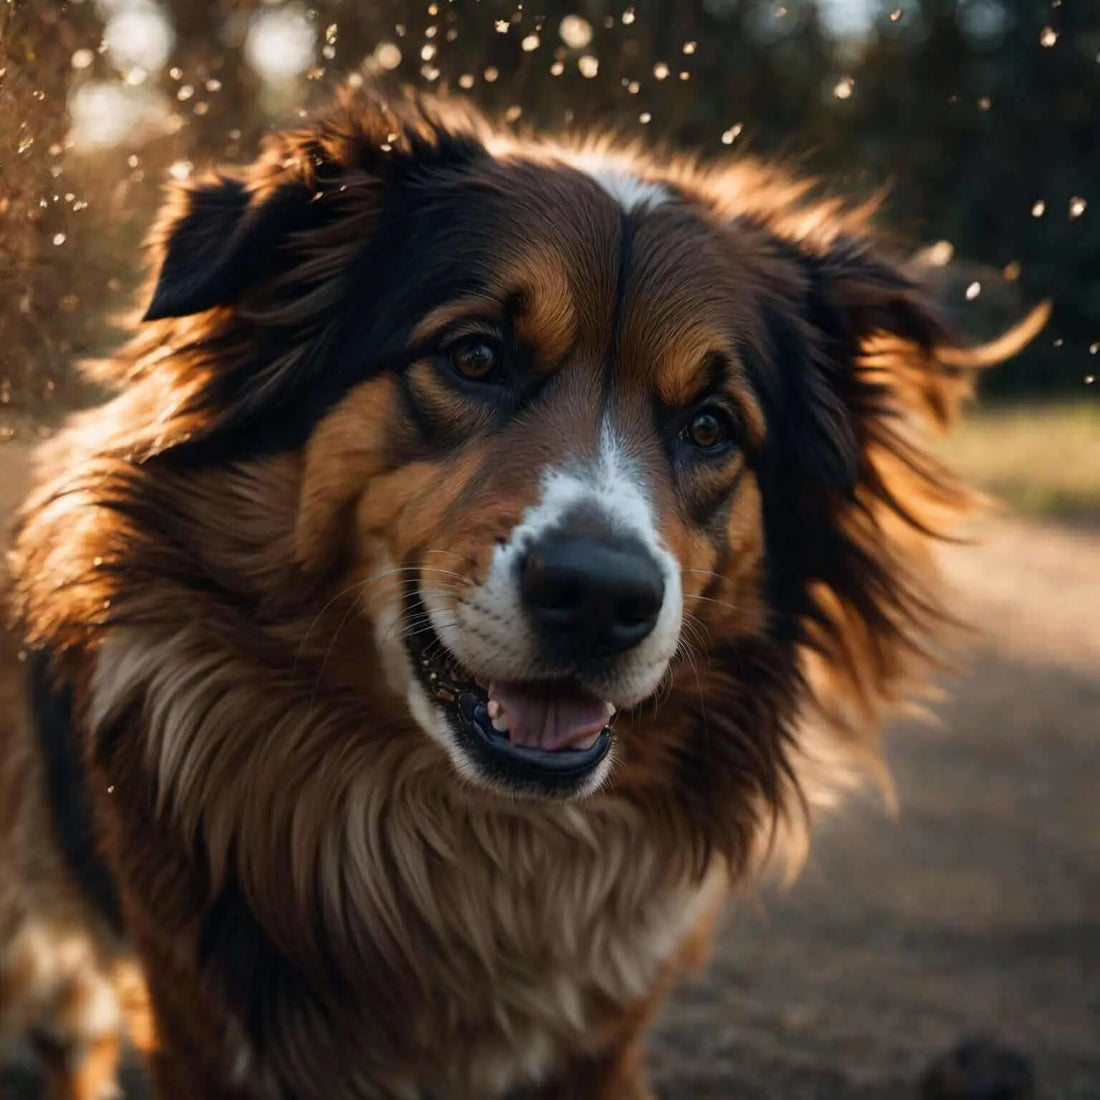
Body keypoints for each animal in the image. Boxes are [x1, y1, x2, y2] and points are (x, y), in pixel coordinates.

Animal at [0, 81, 1042, 1095]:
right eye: (475, 357)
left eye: (710, 425)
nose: (600, 597)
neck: (471, 853)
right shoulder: (202, 1024)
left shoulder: (602, 1043)